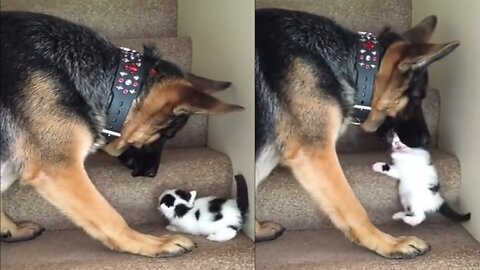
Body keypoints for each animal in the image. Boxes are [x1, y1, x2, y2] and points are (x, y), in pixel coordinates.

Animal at [0, 11, 240, 258]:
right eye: (167, 134)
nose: (152, 174)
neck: (117, 85)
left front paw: (12, 230)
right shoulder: (60, 170)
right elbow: (109, 217)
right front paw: (154, 243)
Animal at [255, 7, 458, 258]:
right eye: (416, 98)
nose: (426, 140)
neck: (357, 66)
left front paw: (255, 230)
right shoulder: (315, 154)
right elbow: (353, 208)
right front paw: (390, 243)